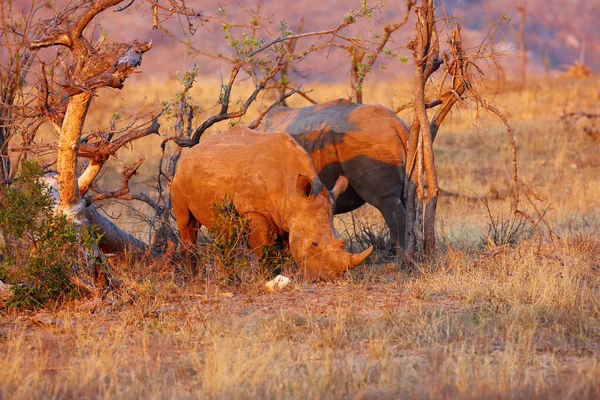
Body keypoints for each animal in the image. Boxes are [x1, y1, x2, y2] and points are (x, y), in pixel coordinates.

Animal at [171, 126, 372, 282]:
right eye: (314, 244)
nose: (329, 278)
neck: (294, 194)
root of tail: (192, 149)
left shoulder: (288, 215)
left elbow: (284, 249)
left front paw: (281, 276)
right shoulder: (254, 211)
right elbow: (265, 247)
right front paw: (269, 278)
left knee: (225, 232)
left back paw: (229, 280)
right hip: (179, 177)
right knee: (187, 224)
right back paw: (193, 279)